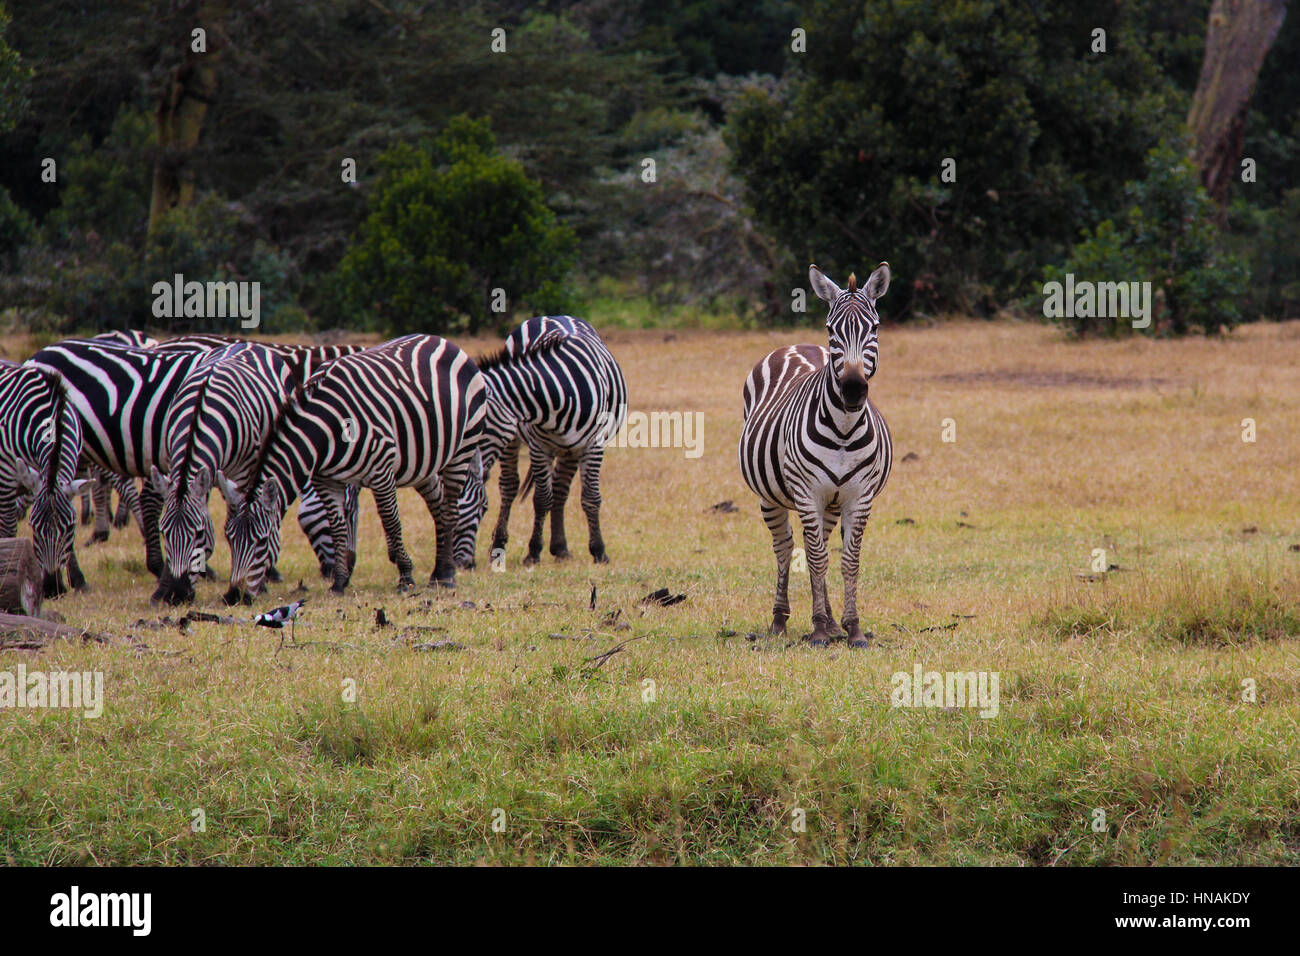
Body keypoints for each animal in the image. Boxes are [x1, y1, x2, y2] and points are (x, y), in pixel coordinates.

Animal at [0, 361, 89, 595]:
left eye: (70, 528)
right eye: (33, 527)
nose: (52, 588)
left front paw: (78, 580)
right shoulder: (6, 480)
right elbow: (9, 530)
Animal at [152, 340, 366, 600]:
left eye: (199, 533)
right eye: (163, 532)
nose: (177, 594)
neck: (199, 413)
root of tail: (246, 342)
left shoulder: (245, 469)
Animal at [220, 335, 486, 600]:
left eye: (262, 542)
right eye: (229, 538)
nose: (233, 596)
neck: (328, 428)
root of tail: (442, 340)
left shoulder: (381, 470)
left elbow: (391, 521)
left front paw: (405, 576)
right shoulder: (326, 480)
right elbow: (337, 528)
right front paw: (339, 582)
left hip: (462, 449)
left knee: (450, 509)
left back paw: (448, 575)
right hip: (422, 463)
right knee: (438, 505)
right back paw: (437, 572)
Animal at [454, 316, 626, 567]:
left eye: (477, 426)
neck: (561, 395)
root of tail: (555, 315)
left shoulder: (593, 445)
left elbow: (591, 498)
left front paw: (599, 552)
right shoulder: (538, 446)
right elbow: (542, 499)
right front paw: (533, 552)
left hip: (569, 449)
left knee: (561, 489)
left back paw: (560, 548)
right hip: (514, 439)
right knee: (510, 486)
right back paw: (499, 545)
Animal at [743, 264, 894, 650]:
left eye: (874, 328)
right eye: (831, 330)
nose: (853, 390)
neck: (842, 430)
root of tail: (797, 345)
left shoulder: (859, 497)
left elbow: (847, 561)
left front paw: (852, 628)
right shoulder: (808, 493)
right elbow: (813, 559)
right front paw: (820, 630)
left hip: (832, 502)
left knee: (821, 546)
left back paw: (831, 622)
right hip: (771, 496)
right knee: (785, 548)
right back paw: (780, 620)